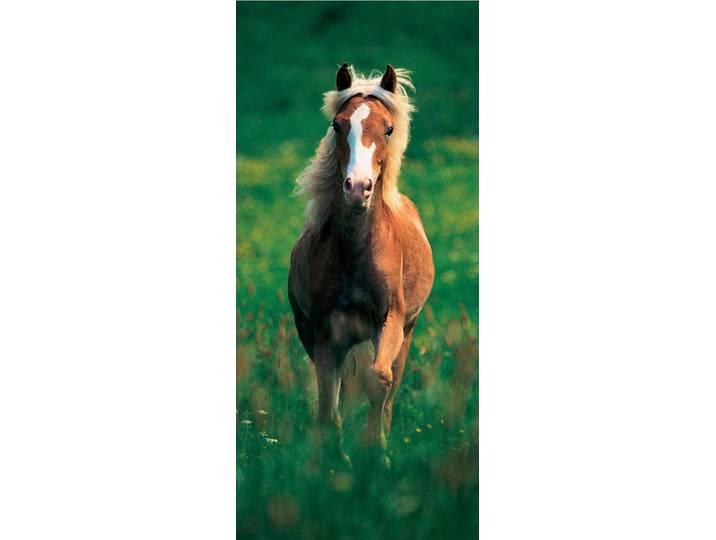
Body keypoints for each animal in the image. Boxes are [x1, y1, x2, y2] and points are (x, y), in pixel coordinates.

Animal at [288, 63, 434, 467]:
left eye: (389, 128)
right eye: (337, 125)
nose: (357, 188)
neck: (355, 250)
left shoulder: (391, 320)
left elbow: (378, 381)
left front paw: (376, 453)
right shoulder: (322, 332)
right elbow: (328, 399)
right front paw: (336, 460)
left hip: (407, 333)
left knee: (392, 385)